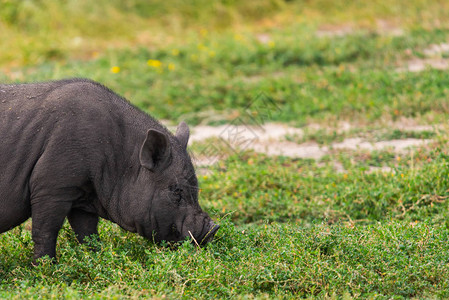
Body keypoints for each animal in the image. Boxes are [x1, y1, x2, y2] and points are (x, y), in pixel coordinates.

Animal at [0, 78, 219, 262]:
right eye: (176, 190)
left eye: (196, 188)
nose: (214, 227)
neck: (118, 159)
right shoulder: (51, 187)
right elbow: (45, 231)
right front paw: (45, 267)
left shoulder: (82, 196)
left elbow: (87, 232)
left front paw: (97, 258)